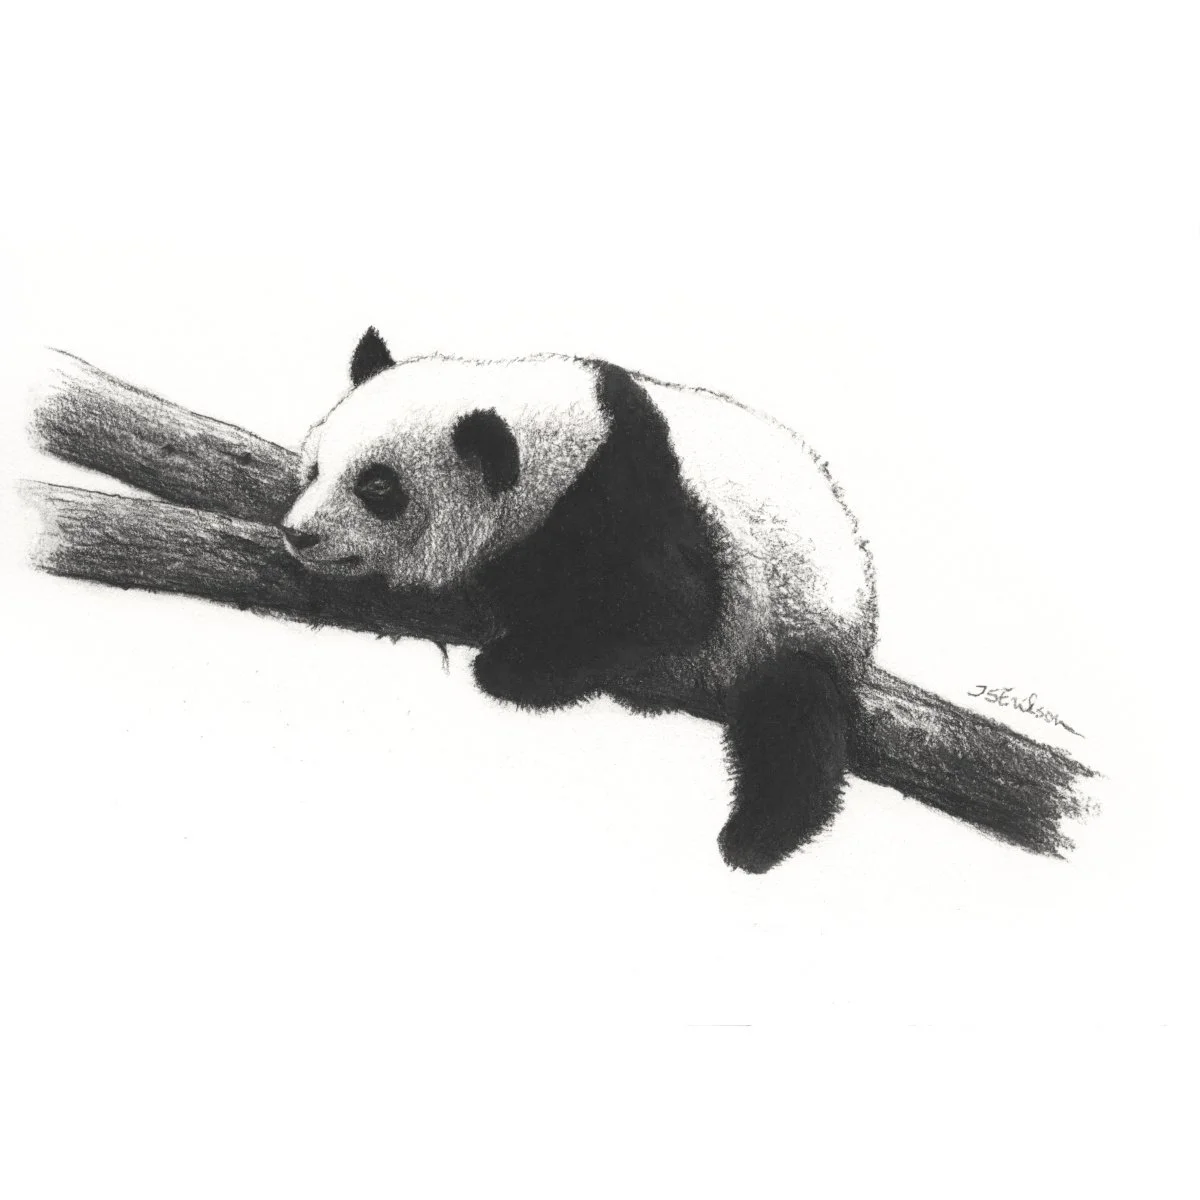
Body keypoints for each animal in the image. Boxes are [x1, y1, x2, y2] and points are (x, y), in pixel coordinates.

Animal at [282, 328, 877, 873]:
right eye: (315, 468)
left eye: (377, 487)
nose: (298, 534)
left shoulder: (625, 496)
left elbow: (669, 607)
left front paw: (511, 666)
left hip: (791, 618)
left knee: (793, 723)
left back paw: (752, 841)